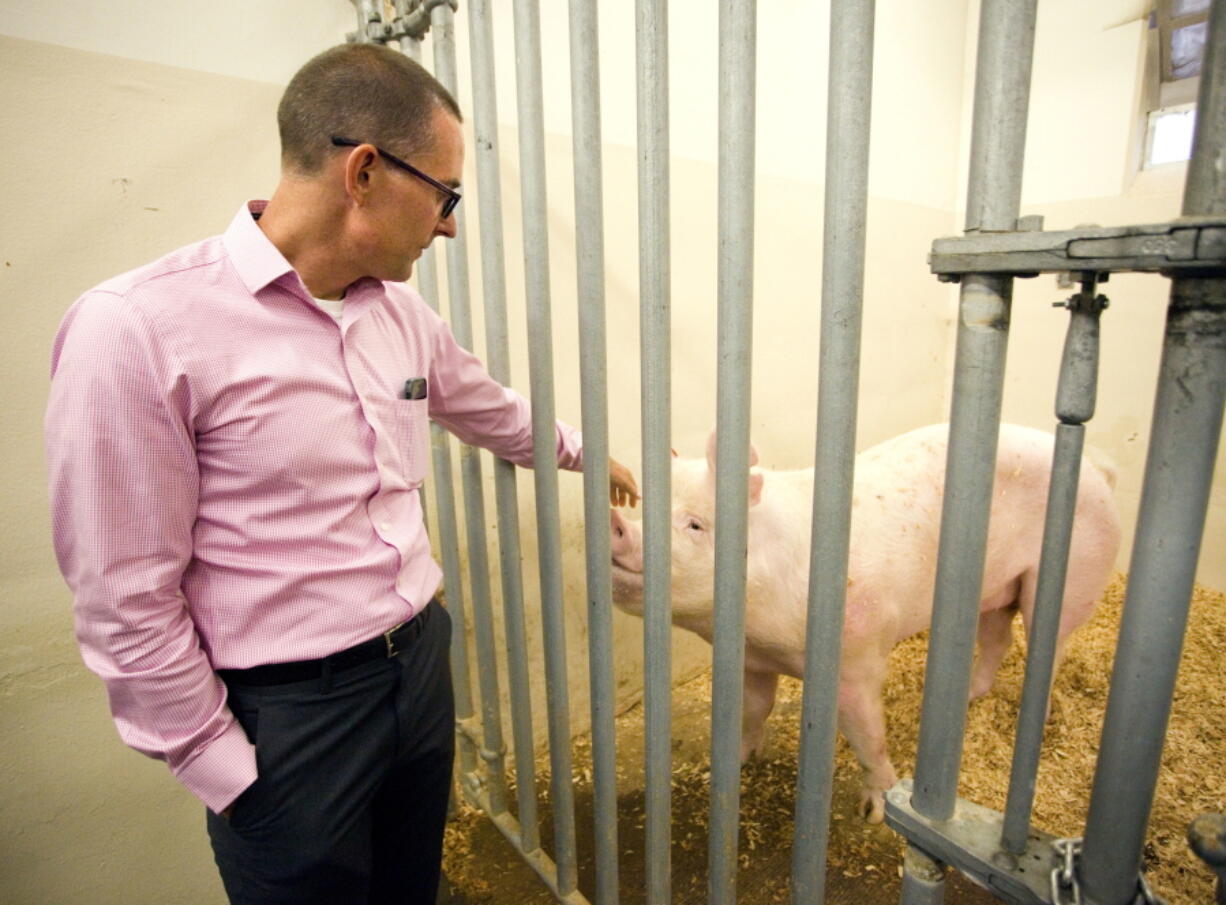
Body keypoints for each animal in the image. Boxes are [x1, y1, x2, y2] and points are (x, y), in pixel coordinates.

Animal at [605, 419, 1123, 819]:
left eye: (695, 524)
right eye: (646, 508)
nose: (615, 522)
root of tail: (1099, 470)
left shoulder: (859, 657)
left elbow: (866, 734)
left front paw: (875, 811)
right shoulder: (754, 659)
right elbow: (754, 710)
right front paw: (733, 763)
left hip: (1075, 575)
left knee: (1047, 647)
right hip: (992, 590)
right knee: (998, 638)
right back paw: (972, 697)